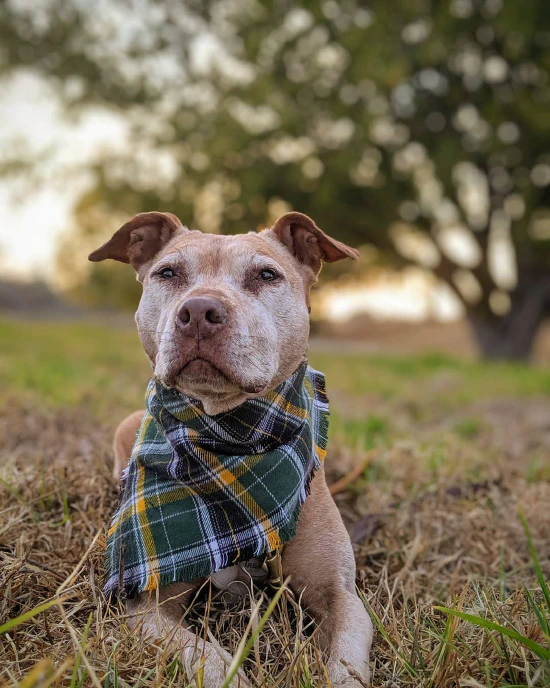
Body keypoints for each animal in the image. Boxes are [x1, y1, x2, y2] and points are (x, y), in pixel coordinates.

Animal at [90, 212, 376, 684]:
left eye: (266, 275)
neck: (231, 438)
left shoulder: (342, 596)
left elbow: (345, 666)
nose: (198, 312)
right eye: (168, 273)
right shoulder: (148, 606)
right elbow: (206, 657)